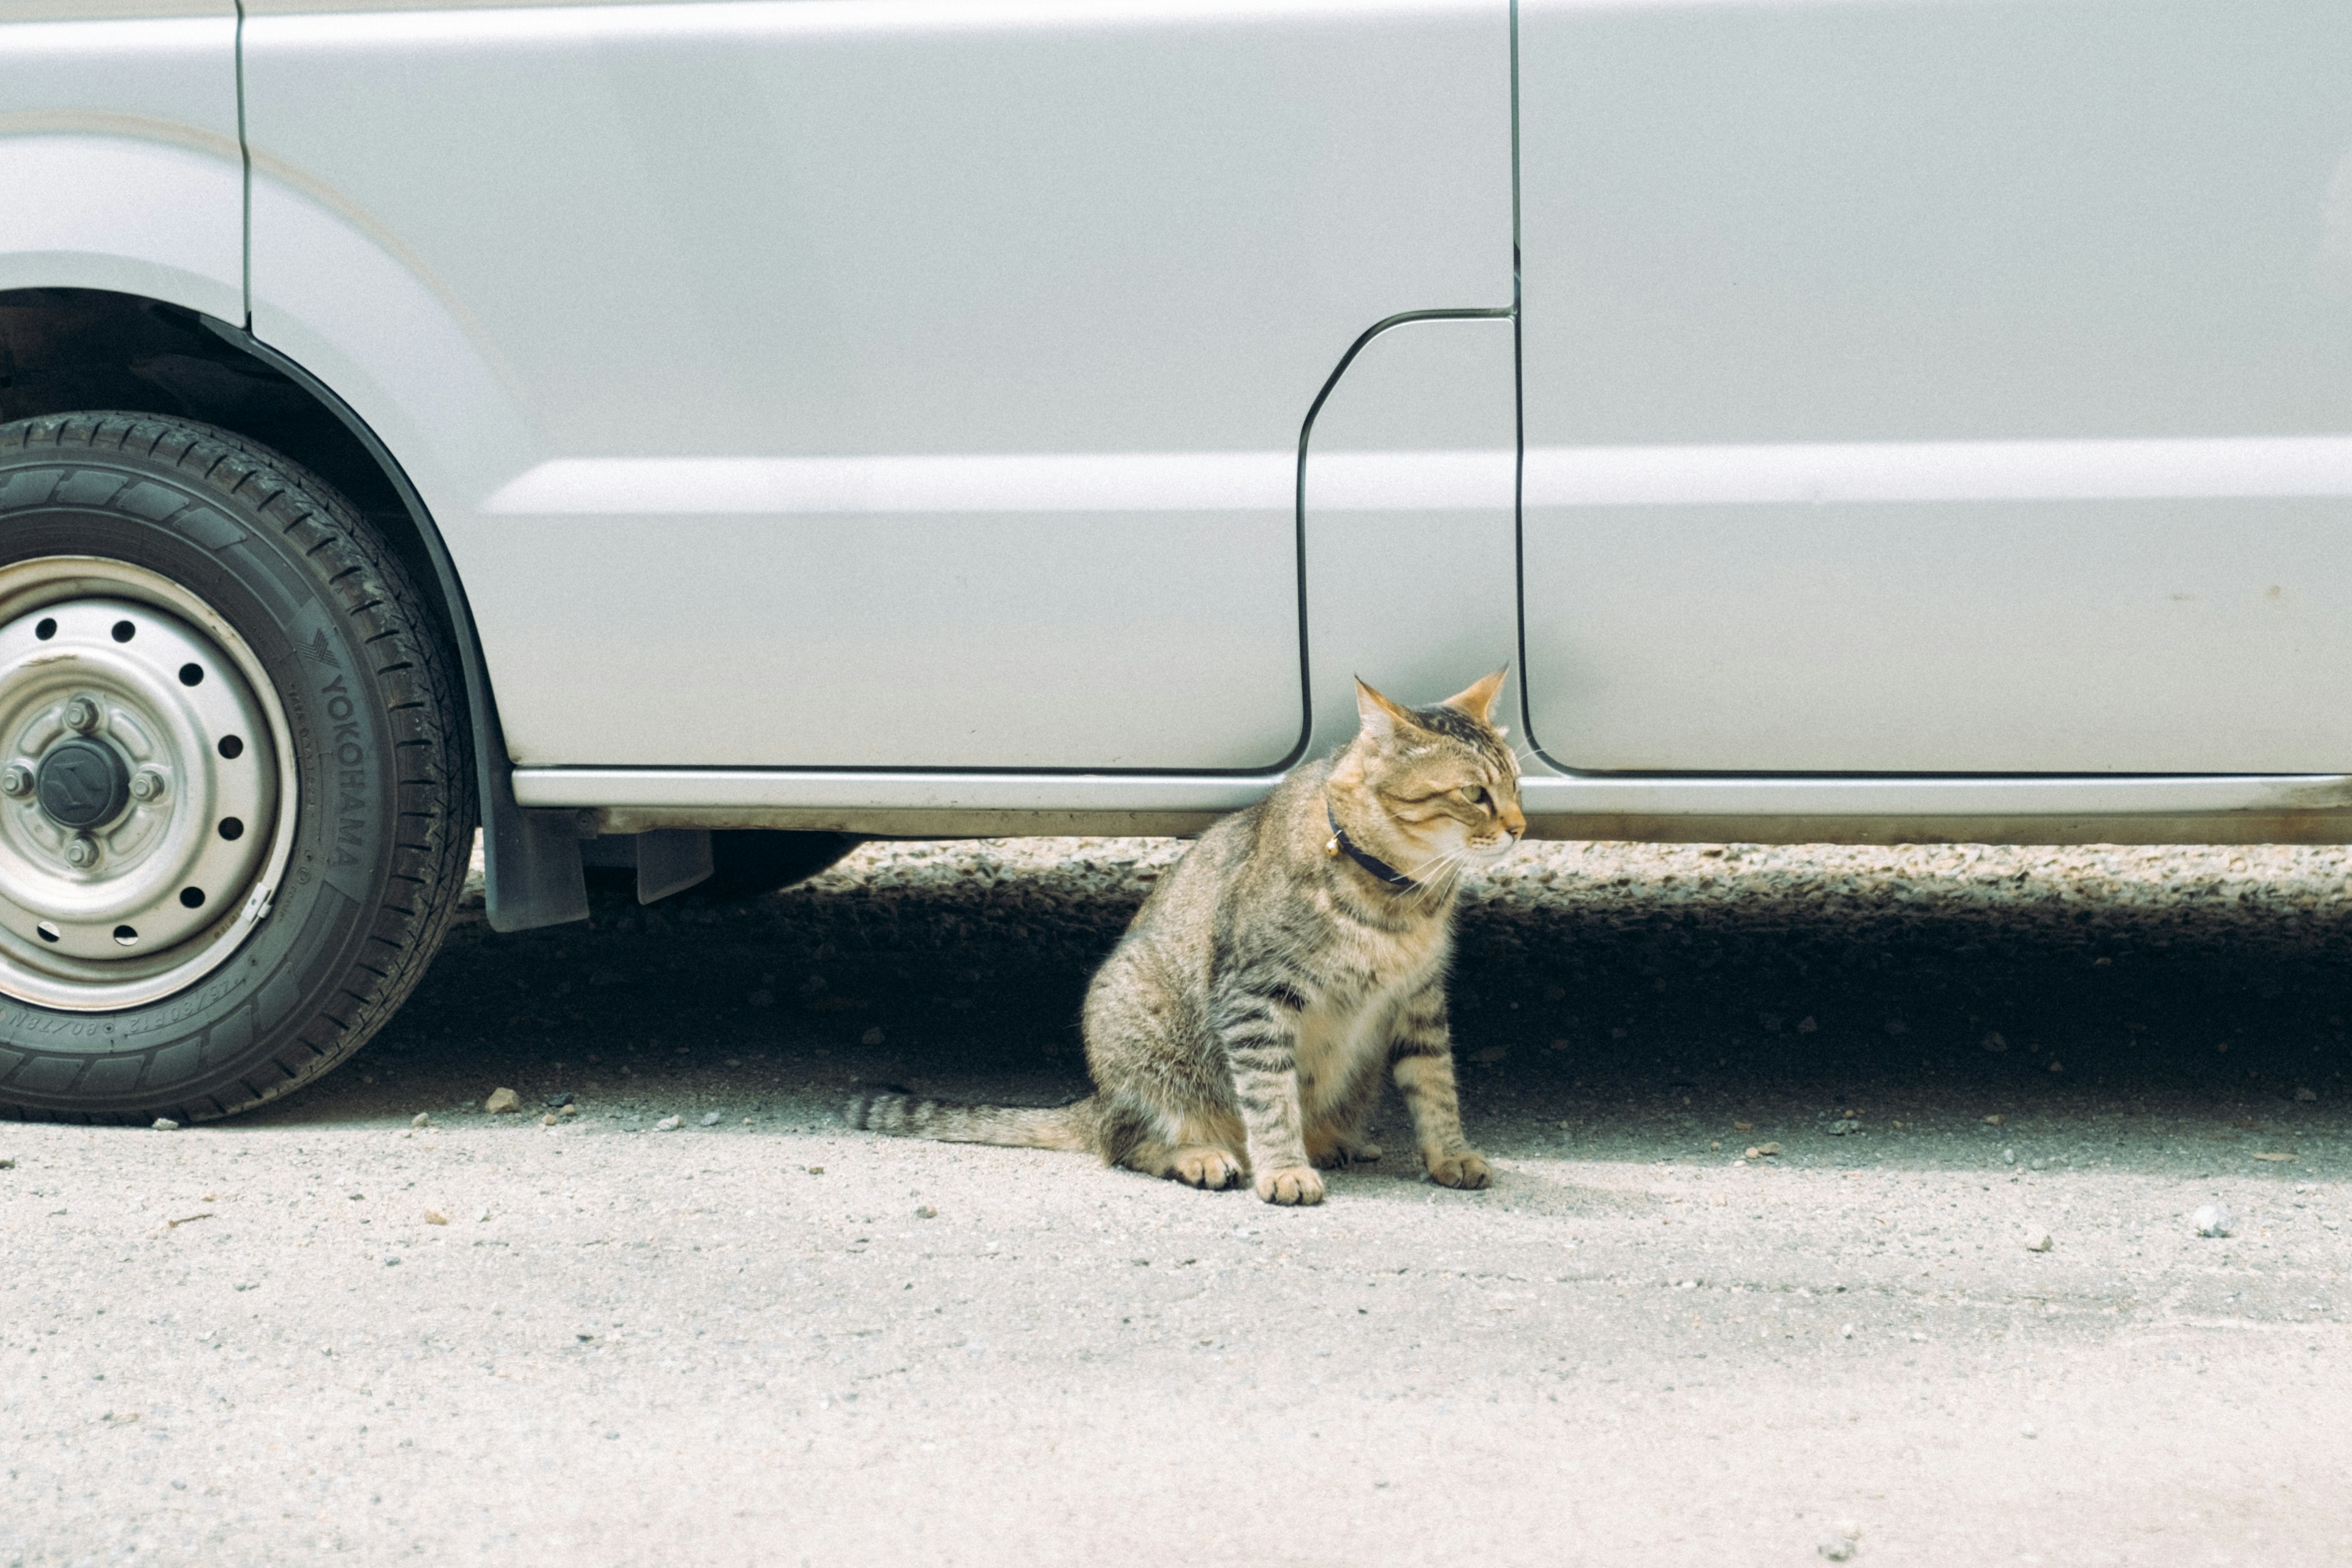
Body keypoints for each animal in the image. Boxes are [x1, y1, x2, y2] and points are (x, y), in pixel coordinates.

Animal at [846, 668, 1524, 1213]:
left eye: (1517, 784)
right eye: (1474, 794)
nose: (1520, 827)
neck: (1401, 897)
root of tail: (1099, 1097)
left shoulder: (1420, 999)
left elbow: (1436, 1085)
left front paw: (1450, 1154)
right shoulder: (1254, 996)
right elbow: (1270, 1097)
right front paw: (1283, 1168)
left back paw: (1334, 1141)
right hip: (1143, 1031)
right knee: (1123, 1143)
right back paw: (1201, 1155)